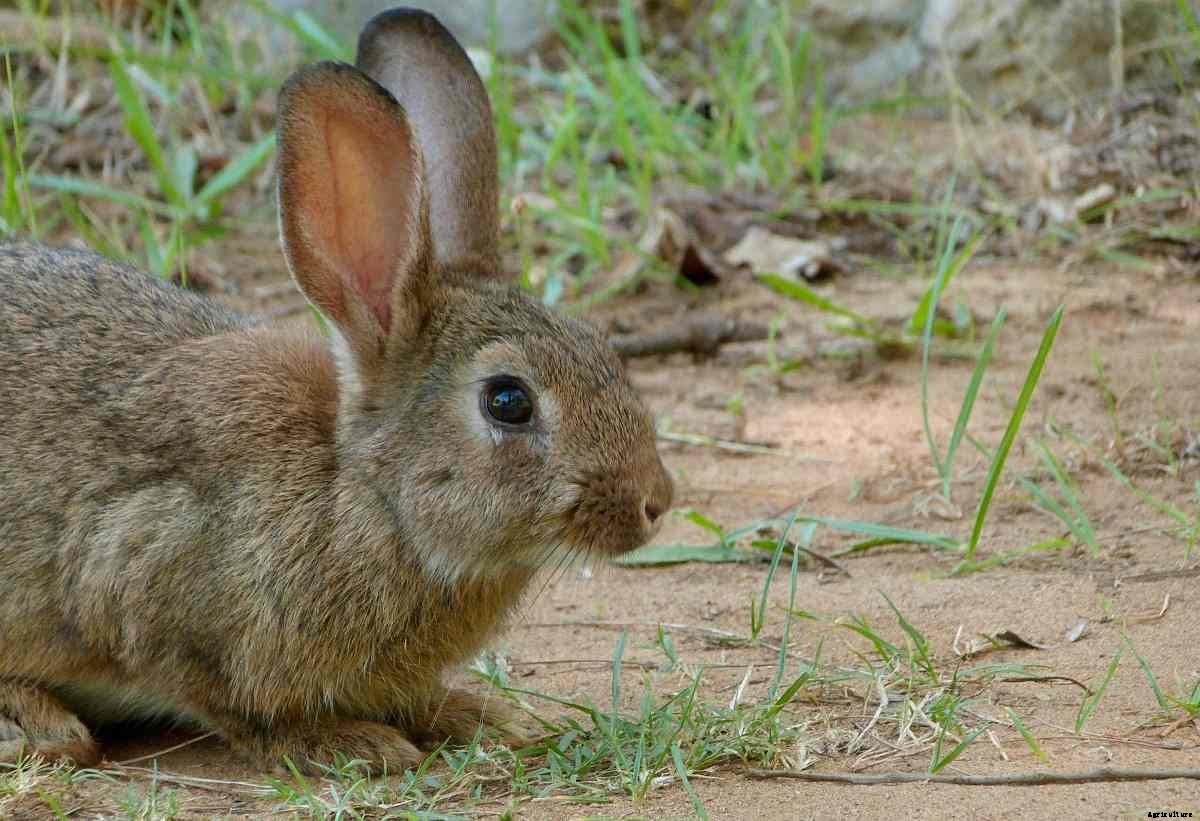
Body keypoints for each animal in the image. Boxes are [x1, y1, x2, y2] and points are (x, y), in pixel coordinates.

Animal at [0, 7, 673, 774]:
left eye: (600, 345)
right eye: (508, 401)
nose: (655, 501)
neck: (367, 494)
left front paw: (482, 716)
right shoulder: (139, 570)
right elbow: (233, 706)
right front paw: (350, 742)